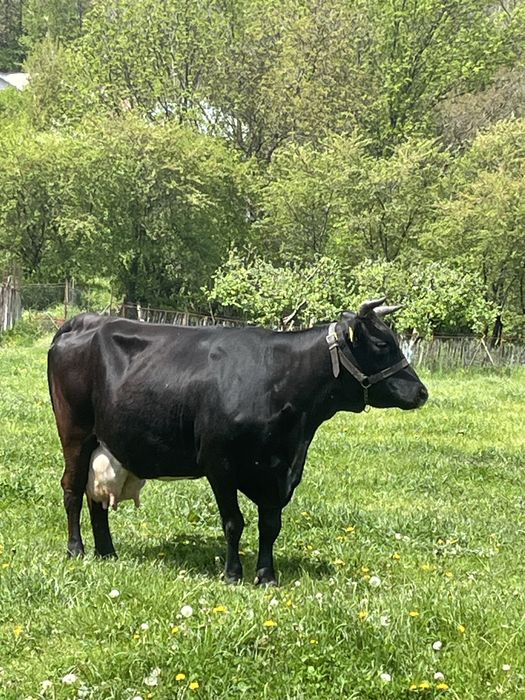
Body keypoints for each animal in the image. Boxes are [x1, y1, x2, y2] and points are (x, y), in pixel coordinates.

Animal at [47, 297, 428, 586]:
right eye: (382, 344)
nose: (422, 392)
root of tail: (84, 320)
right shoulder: (220, 464)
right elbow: (234, 522)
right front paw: (233, 575)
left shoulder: (279, 471)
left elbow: (270, 526)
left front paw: (266, 576)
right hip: (75, 433)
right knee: (73, 488)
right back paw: (76, 549)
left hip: (104, 441)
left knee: (96, 498)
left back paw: (107, 552)